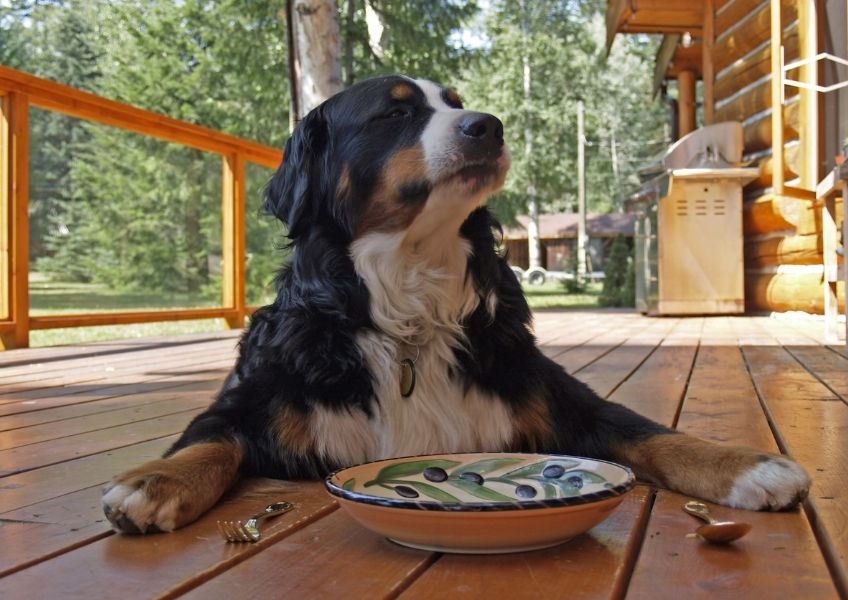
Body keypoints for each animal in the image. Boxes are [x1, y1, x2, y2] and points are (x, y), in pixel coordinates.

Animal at [102, 76, 812, 536]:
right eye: (393, 115)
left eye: (458, 105)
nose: (489, 127)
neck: (409, 308)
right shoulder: (253, 398)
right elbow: (210, 442)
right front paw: (152, 482)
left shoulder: (555, 395)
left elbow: (650, 433)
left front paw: (745, 466)